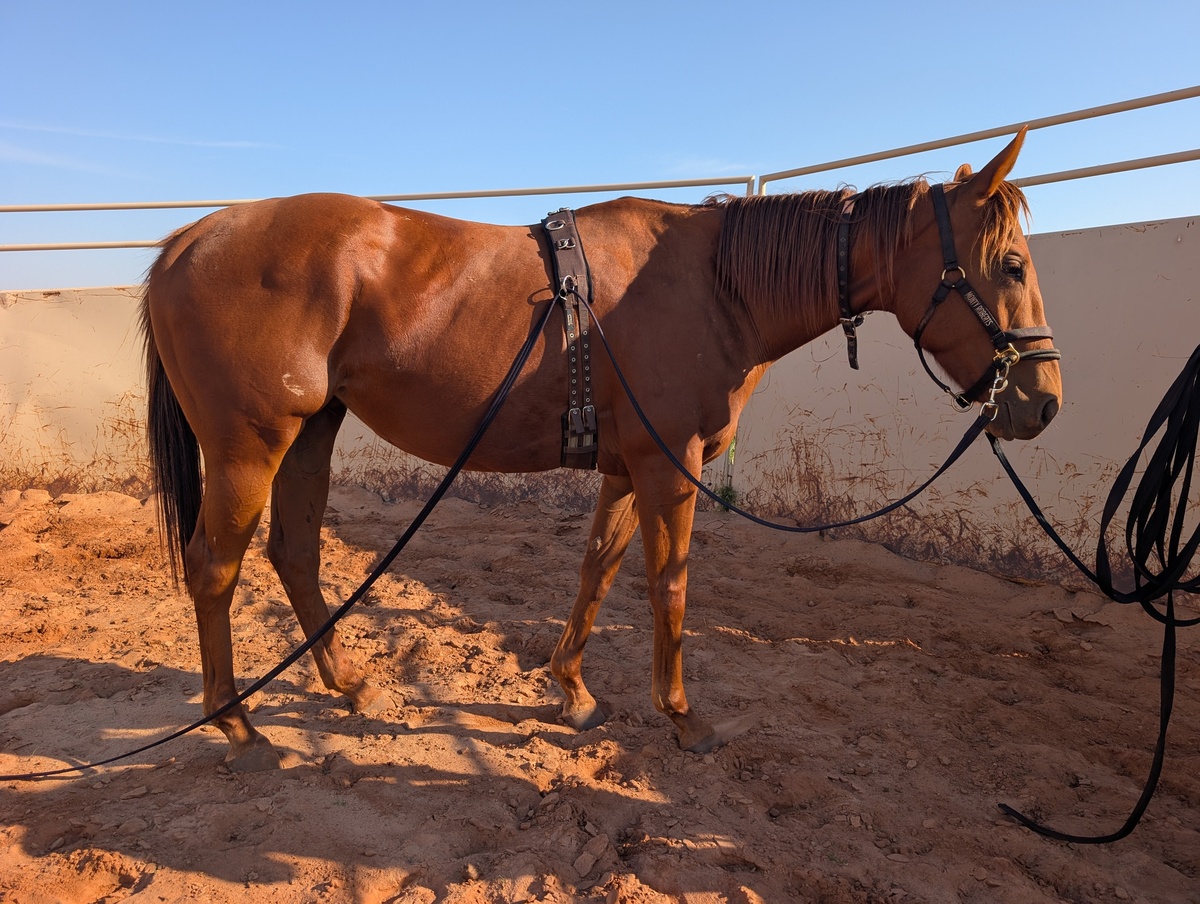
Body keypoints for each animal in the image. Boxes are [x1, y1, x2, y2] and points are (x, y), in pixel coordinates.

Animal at [141, 128, 1061, 771]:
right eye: (1012, 265)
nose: (1042, 403)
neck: (712, 287)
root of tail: (187, 242)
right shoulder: (668, 469)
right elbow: (669, 588)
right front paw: (684, 717)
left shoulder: (626, 470)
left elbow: (597, 572)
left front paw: (573, 692)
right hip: (249, 447)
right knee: (215, 570)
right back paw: (238, 725)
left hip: (311, 433)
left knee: (293, 553)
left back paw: (344, 683)